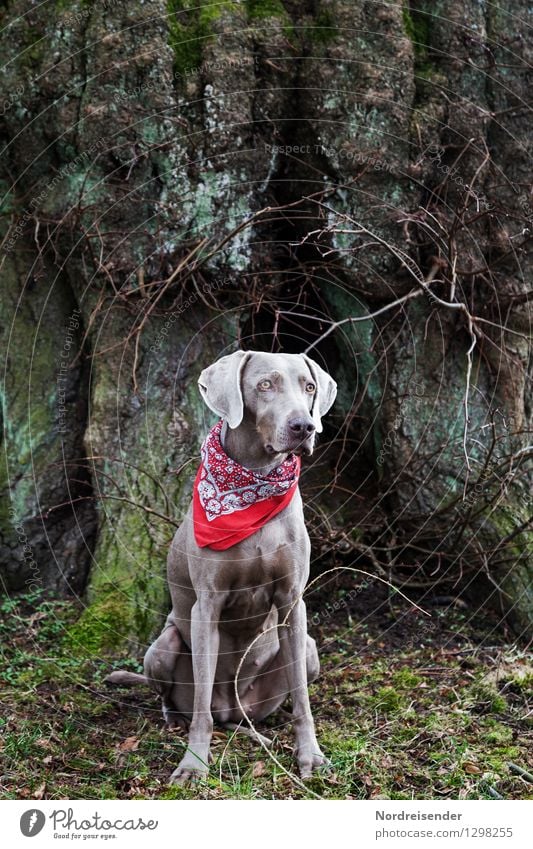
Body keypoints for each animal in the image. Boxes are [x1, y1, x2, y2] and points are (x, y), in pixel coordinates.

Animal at [106, 350, 334, 780]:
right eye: (265, 384)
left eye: (309, 386)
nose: (305, 426)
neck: (254, 483)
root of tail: (234, 708)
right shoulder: (207, 605)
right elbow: (200, 709)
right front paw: (193, 764)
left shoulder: (292, 602)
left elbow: (302, 699)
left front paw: (310, 755)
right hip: (164, 646)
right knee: (183, 701)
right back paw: (175, 720)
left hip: (305, 654)